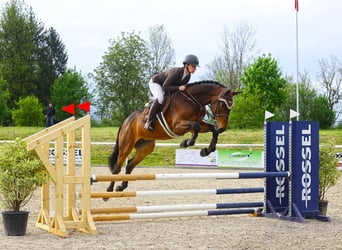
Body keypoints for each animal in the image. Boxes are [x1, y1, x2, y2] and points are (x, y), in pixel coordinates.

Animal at [105, 81, 239, 192]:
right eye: (222, 105)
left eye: (231, 107)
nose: (222, 128)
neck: (192, 100)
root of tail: (126, 121)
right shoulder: (177, 126)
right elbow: (195, 127)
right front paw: (186, 143)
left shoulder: (200, 124)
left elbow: (212, 131)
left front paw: (206, 151)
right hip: (126, 146)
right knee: (117, 167)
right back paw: (109, 190)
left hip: (145, 147)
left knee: (130, 164)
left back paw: (121, 187)